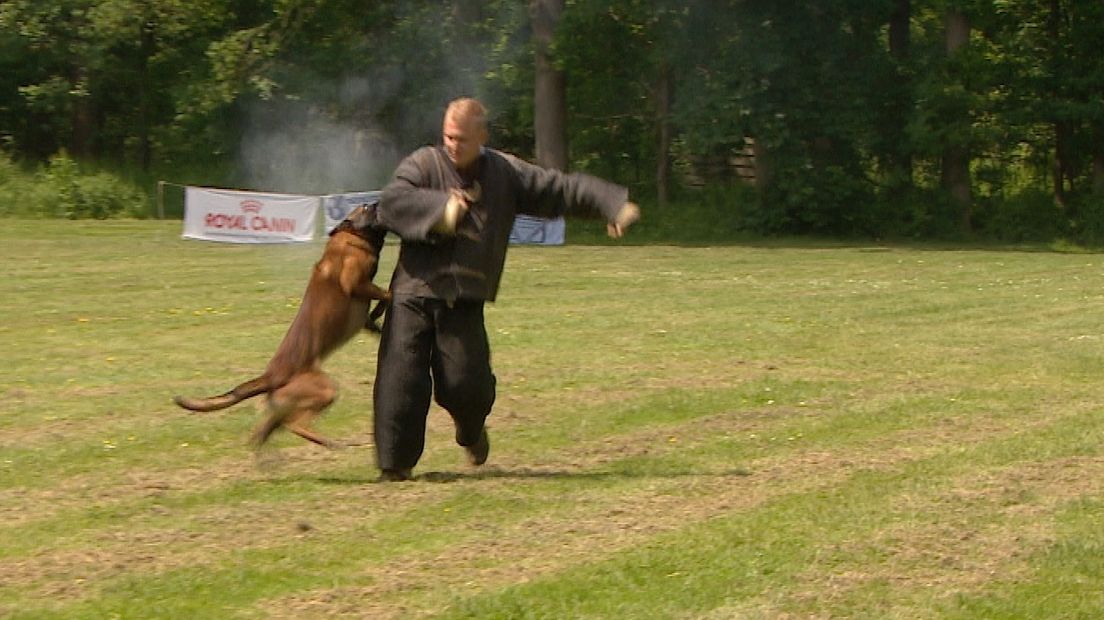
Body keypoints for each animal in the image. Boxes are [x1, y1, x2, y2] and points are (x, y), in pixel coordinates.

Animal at [174, 204, 390, 447]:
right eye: (365, 208)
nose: (377, 202)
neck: (350, 238)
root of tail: (270, 377)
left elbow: (378, 306)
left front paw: (377, 317)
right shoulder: (355, 283)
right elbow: (387, 291)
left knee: (266, 429)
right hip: (324, 389)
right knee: (295, 425)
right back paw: (330, 442)